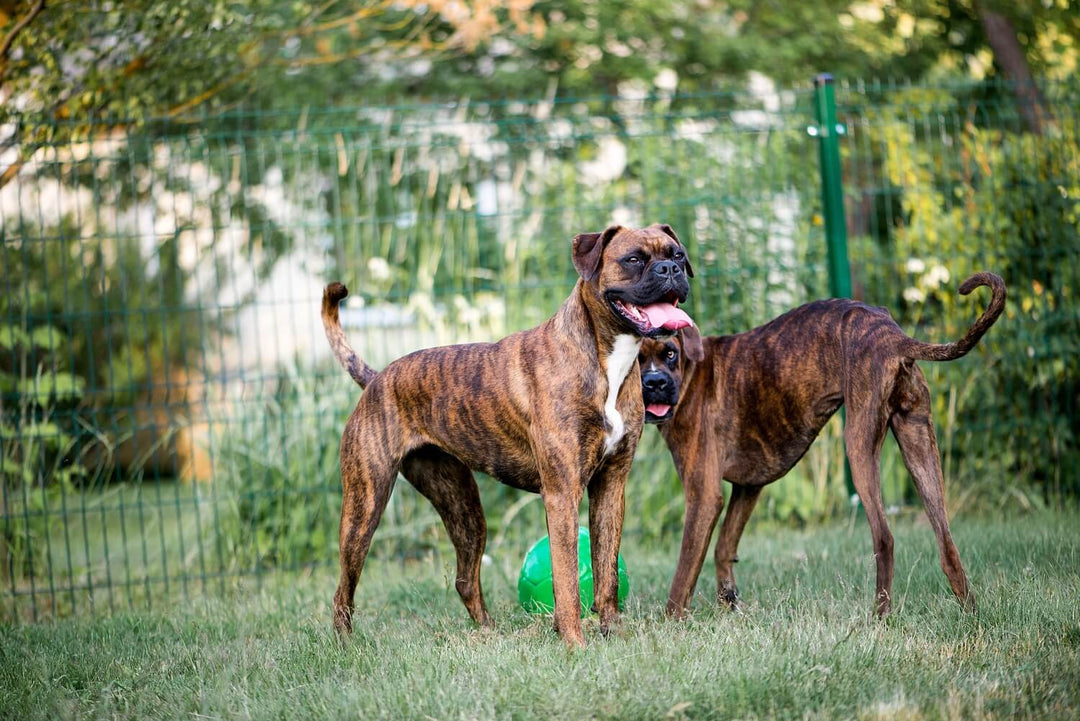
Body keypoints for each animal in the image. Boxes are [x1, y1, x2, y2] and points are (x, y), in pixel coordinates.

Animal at [319, 222, 695, 643]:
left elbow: (606, 572)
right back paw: (344, 643)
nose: (669, 269)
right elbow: (567, 579)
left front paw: (611, 631)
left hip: (463, 507)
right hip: (364, 509)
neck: (605, 358)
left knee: (466, 580)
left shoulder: (611, 487)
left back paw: (487, 633)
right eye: (633, 259)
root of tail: (376, 379)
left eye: (677, 255)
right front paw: (574, 643)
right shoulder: (562, 493)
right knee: (343, 589)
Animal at [639, 273, 1002, 617]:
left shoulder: (703, 498)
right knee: (947, 543)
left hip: (859, 447)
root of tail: (892, 334)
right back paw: (970, 612)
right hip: (920, 448)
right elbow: (724, 548)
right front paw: (729, 605)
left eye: (670, 353)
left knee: (884, 538)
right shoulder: (747, 488)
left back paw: (880, 618)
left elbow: (685, 571)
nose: (655, 383)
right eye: (636, 359)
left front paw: (671, 623)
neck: (690, 371)